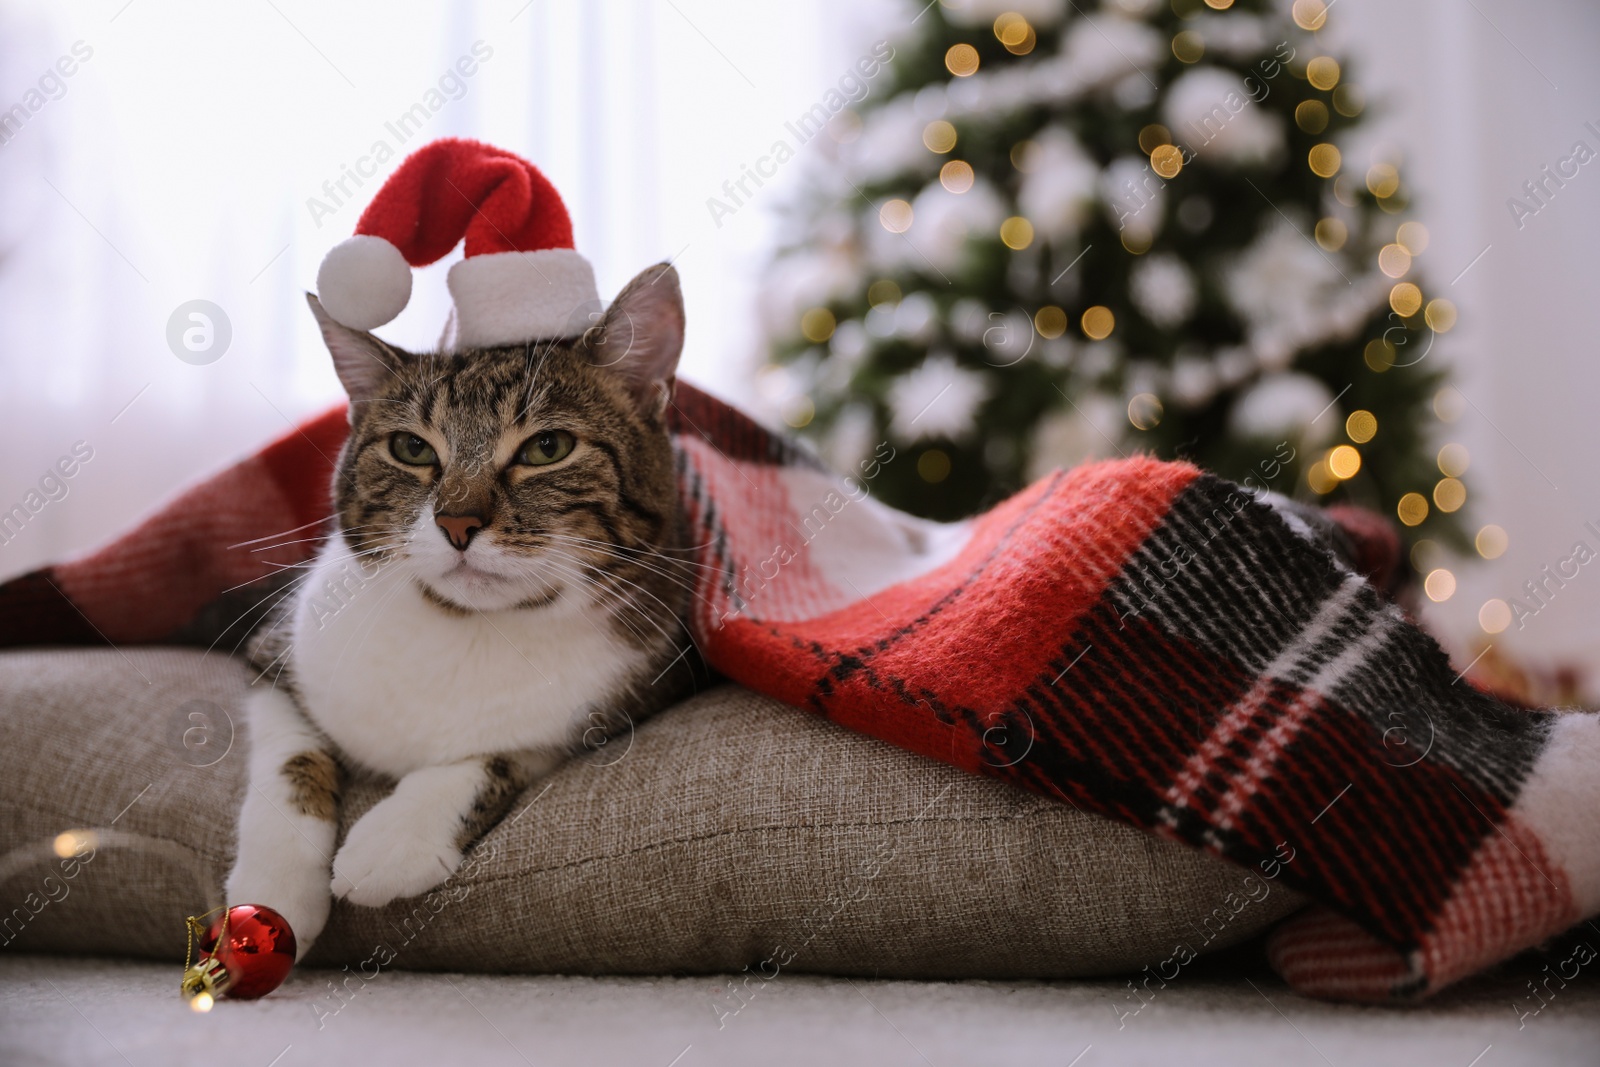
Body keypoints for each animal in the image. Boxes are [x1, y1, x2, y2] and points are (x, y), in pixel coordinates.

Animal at [228, 262, 704, 953]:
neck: (467, 627)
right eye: (411, 449)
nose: (456, 522)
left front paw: (396, 837)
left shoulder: (631, 688)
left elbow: (506, 753)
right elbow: (290, 754)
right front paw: (272, 894)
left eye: (548, 447)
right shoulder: (275, 651)